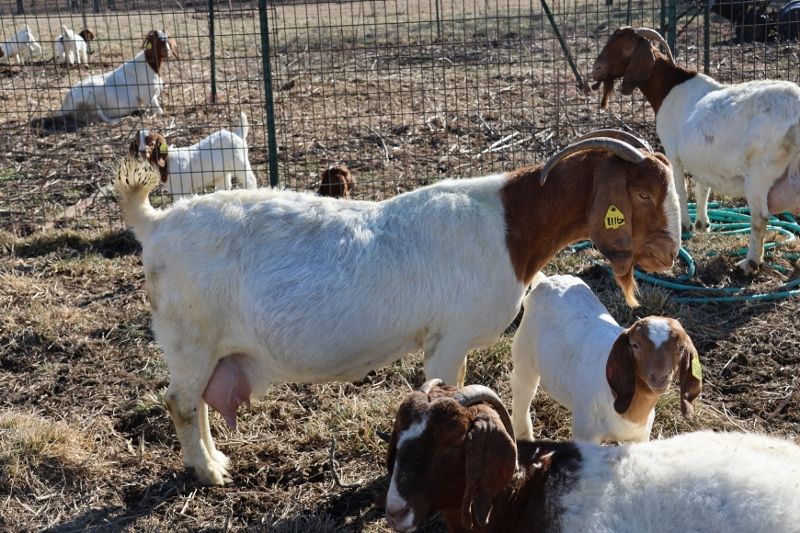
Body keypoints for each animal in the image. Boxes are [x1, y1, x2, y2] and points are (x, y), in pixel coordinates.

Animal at [111, 131, 680, 484]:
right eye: (643, 194)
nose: (673, 253)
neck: (509, 228)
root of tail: (154, 224)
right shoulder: (448, 338)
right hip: (190, 337)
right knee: (182, 403)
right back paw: (209, 473)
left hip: (206, 347)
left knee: (201, 403)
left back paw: (218, 460)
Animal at [592, 26, 800, 274]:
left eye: (627, 45)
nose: (596, 69)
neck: (670, 88)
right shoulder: (703, 159)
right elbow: (703, 187)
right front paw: (703, 224)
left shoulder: (673, 153)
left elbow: (680, 190)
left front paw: (686, 225)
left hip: (760, 172)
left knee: (759, 217)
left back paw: (749, 263)